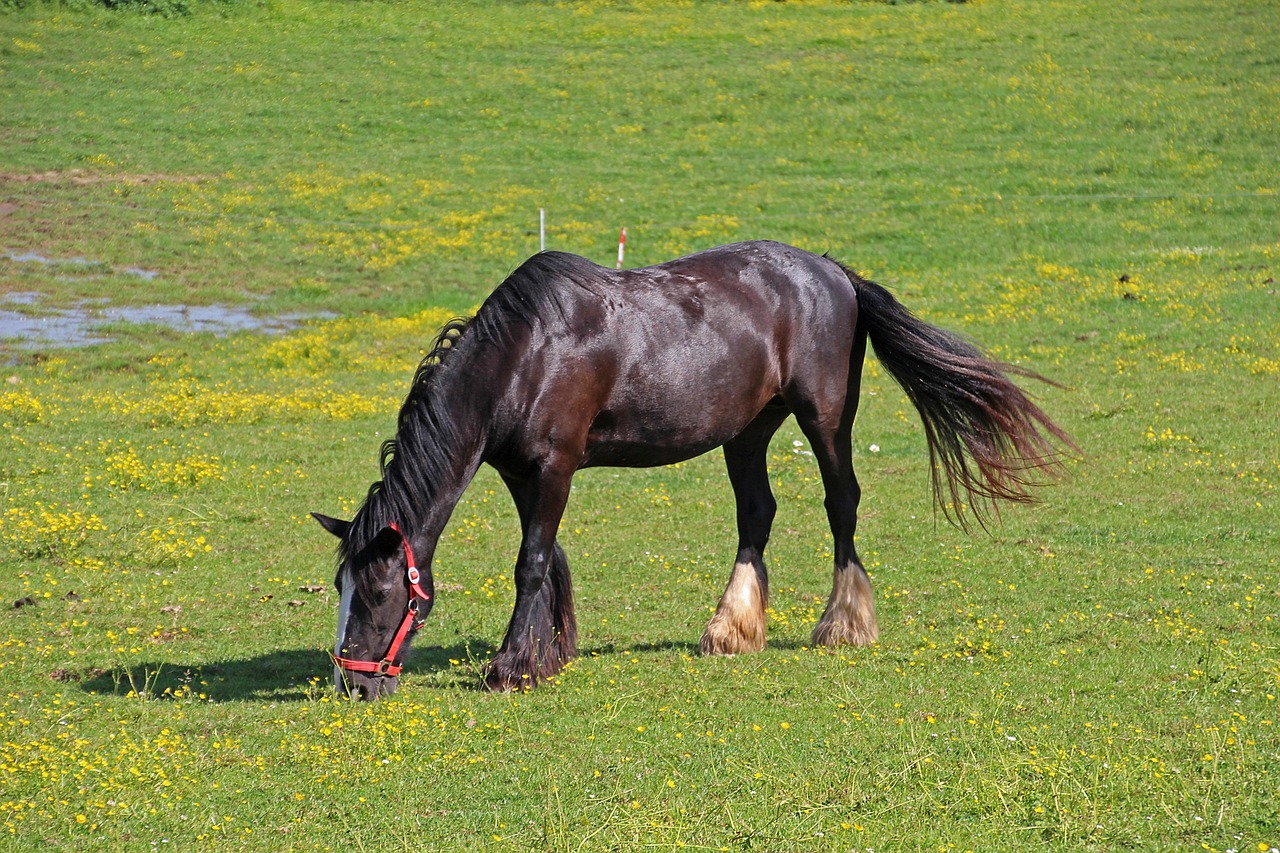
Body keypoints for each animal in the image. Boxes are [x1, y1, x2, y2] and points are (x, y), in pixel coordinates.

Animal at [313, 240, 1072, 699]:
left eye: (377, 593)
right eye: (341, 588)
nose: (354, 684)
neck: (525, 352)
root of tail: (833, 271)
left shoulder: (554, 467)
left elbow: (530, 563)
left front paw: (513, 666)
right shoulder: (524, 473)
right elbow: (549, 558)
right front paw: (548, 653)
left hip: (826, 418)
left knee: (842, 504)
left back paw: (843, 623)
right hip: (747, 433)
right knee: (757, 514)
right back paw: (731, 629)